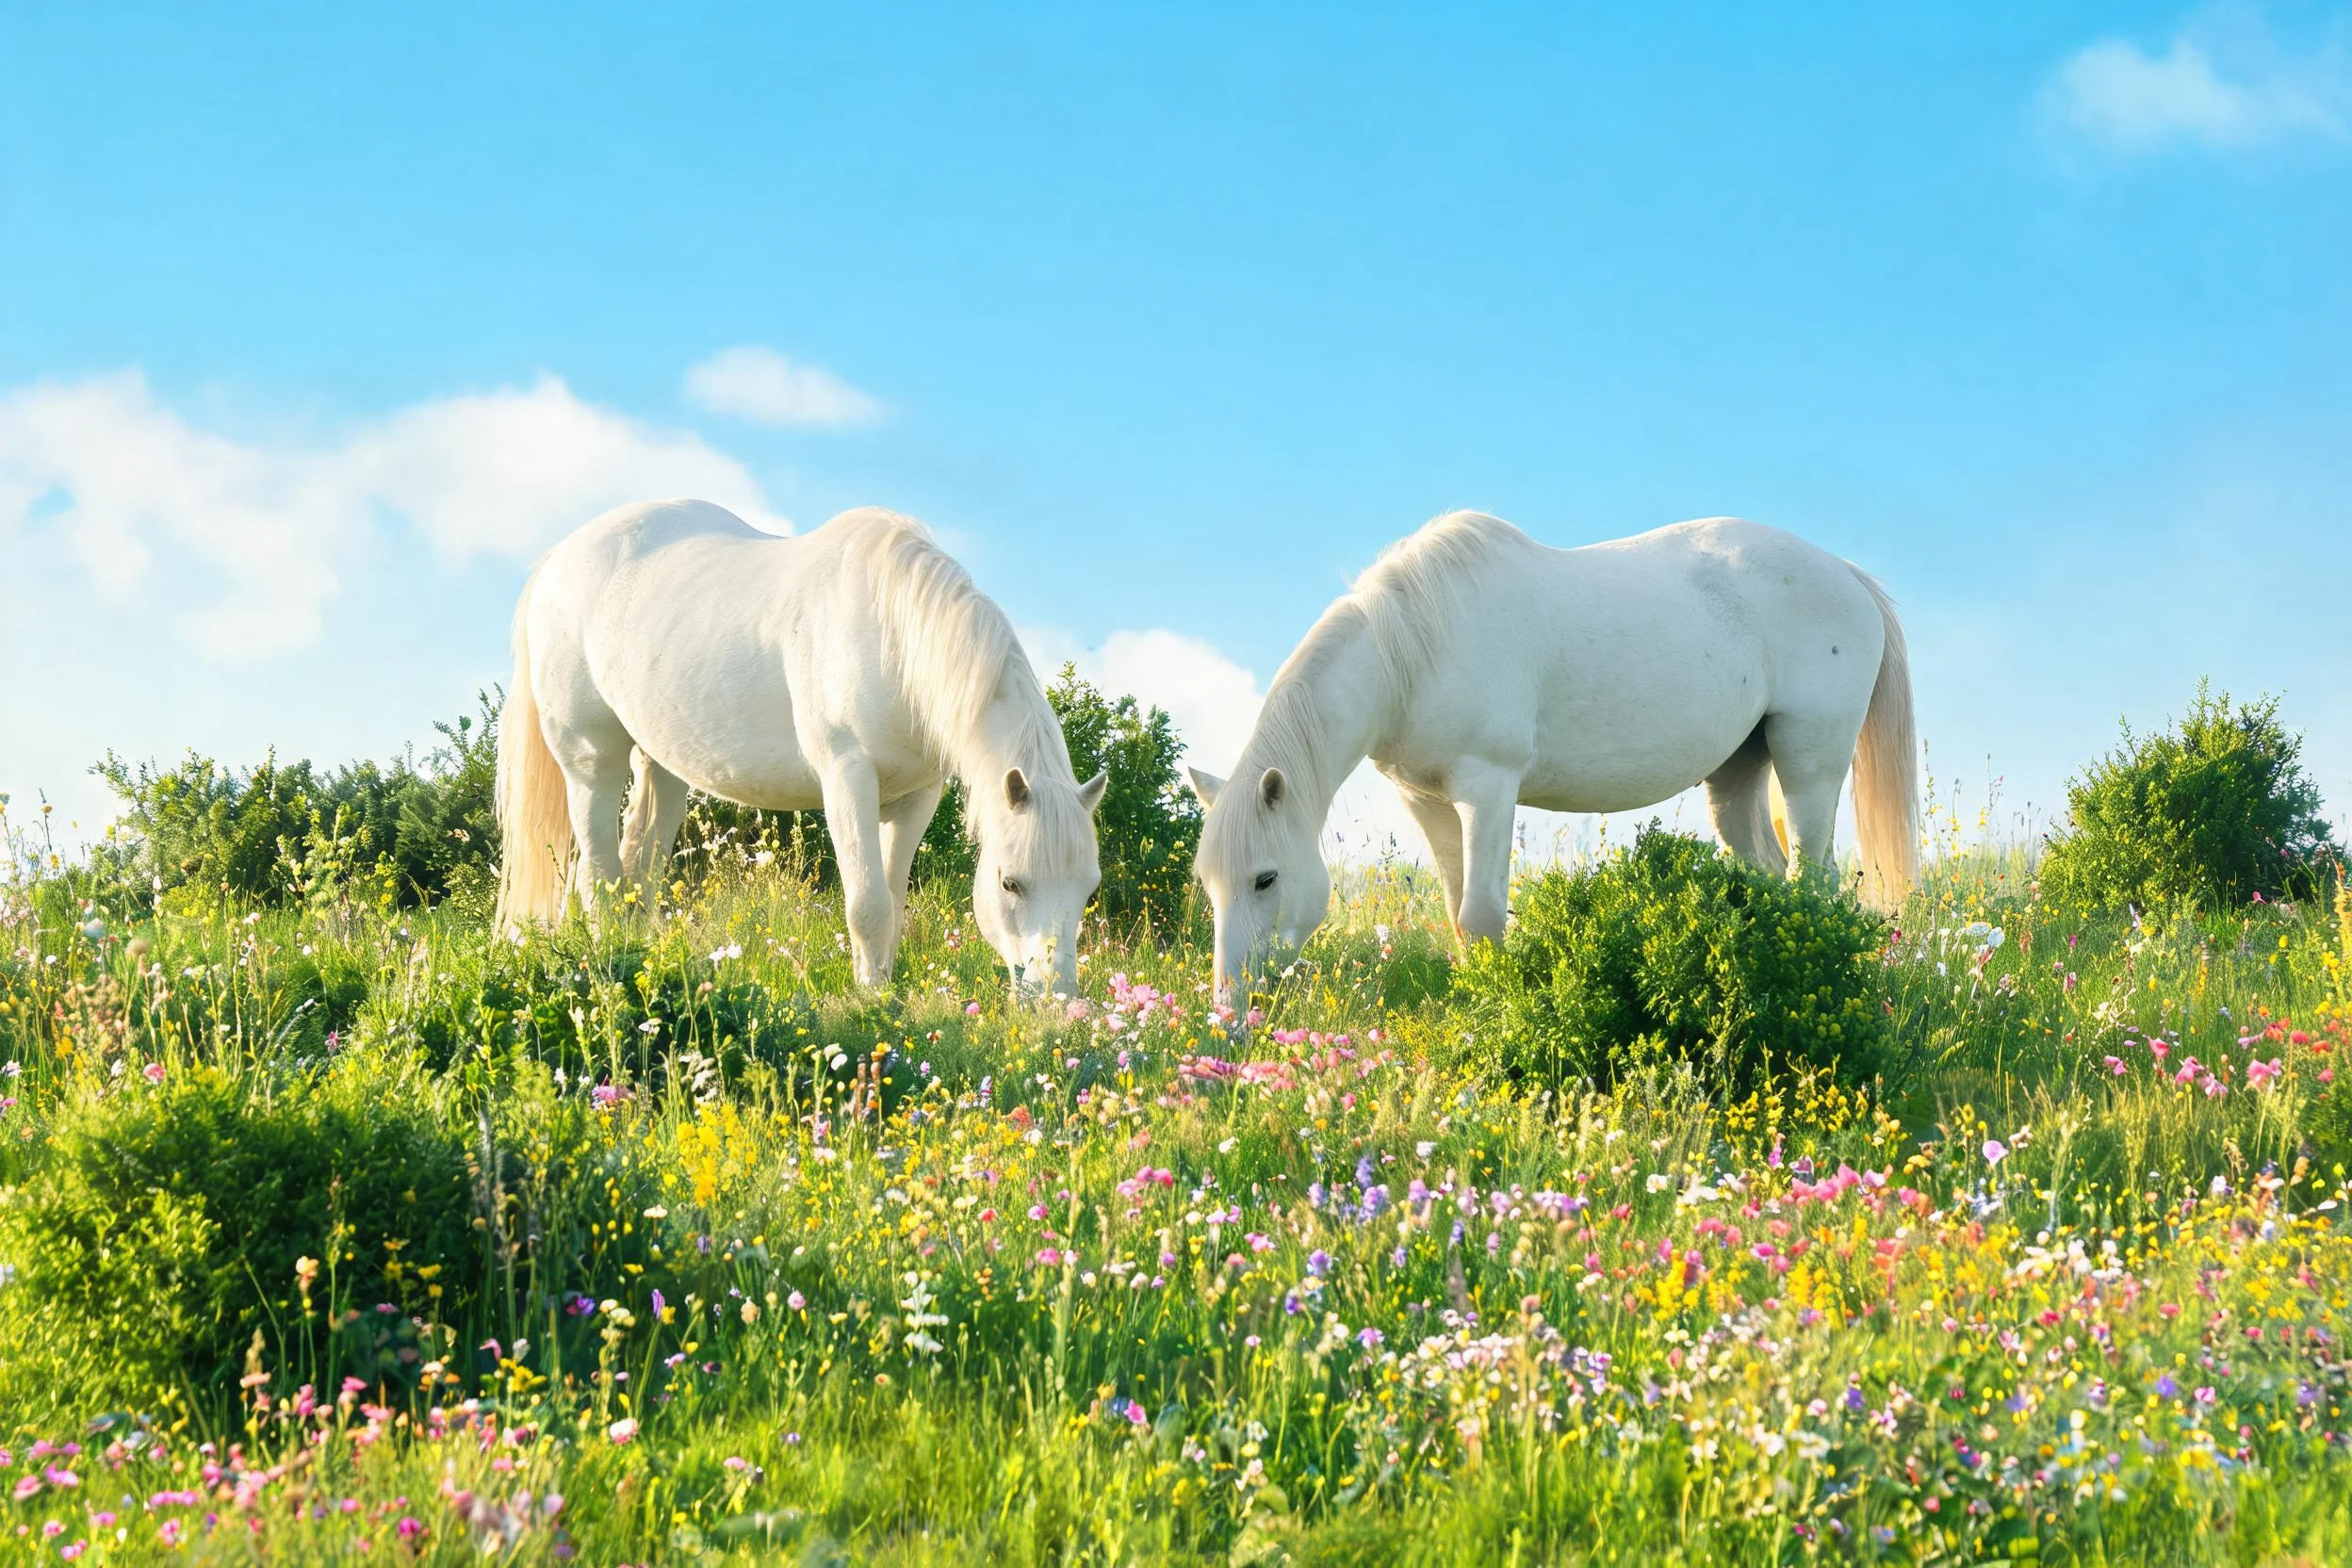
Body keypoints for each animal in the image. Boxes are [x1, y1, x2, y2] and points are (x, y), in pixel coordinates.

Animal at [494, 500, 1105, 996]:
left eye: (1088, 887)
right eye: (1010, 883)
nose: (1057, 998)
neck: (894, 635)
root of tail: (557, 559)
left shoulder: (917, 796)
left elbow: (893, 905)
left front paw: (883, 991)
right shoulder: (847, 778)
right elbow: (867, 906)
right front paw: (873, 1003)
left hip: (661, 767)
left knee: (635, 873)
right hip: (590, 761)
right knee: (597, 877)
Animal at [1188, 511, 1918, 1011]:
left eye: (1265, 878)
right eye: (1209, 883)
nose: (1230, 1007)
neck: (1410, 649)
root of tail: (1845, 573)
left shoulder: (1487, 787)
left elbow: (1482, 916)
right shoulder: (1428, 801)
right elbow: (1458, 914)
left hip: (1809, 762)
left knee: (1813, 880)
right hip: (1737, 773)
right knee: (1767, 874)